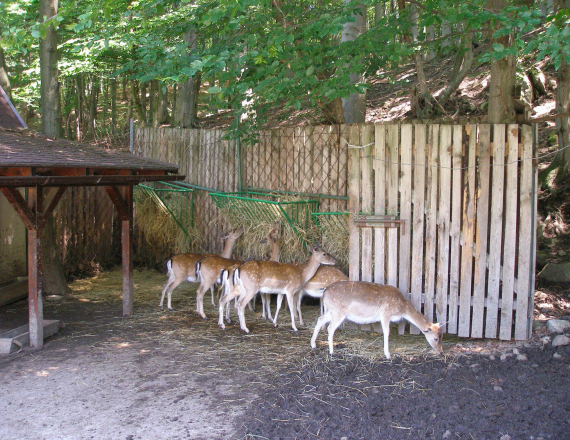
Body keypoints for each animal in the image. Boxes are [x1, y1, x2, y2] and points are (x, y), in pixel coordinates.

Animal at [310, 280, 444, 360]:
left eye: (442, 336)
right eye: (436, 338)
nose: (441, 352)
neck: (401, 308)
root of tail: (324, 291)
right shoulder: (385, 313)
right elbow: (386, 332)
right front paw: (388, 355)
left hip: (332, 311)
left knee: (320, 319)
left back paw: (313, 345)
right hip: (338, 311)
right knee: (330, 328)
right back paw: (332, 352)